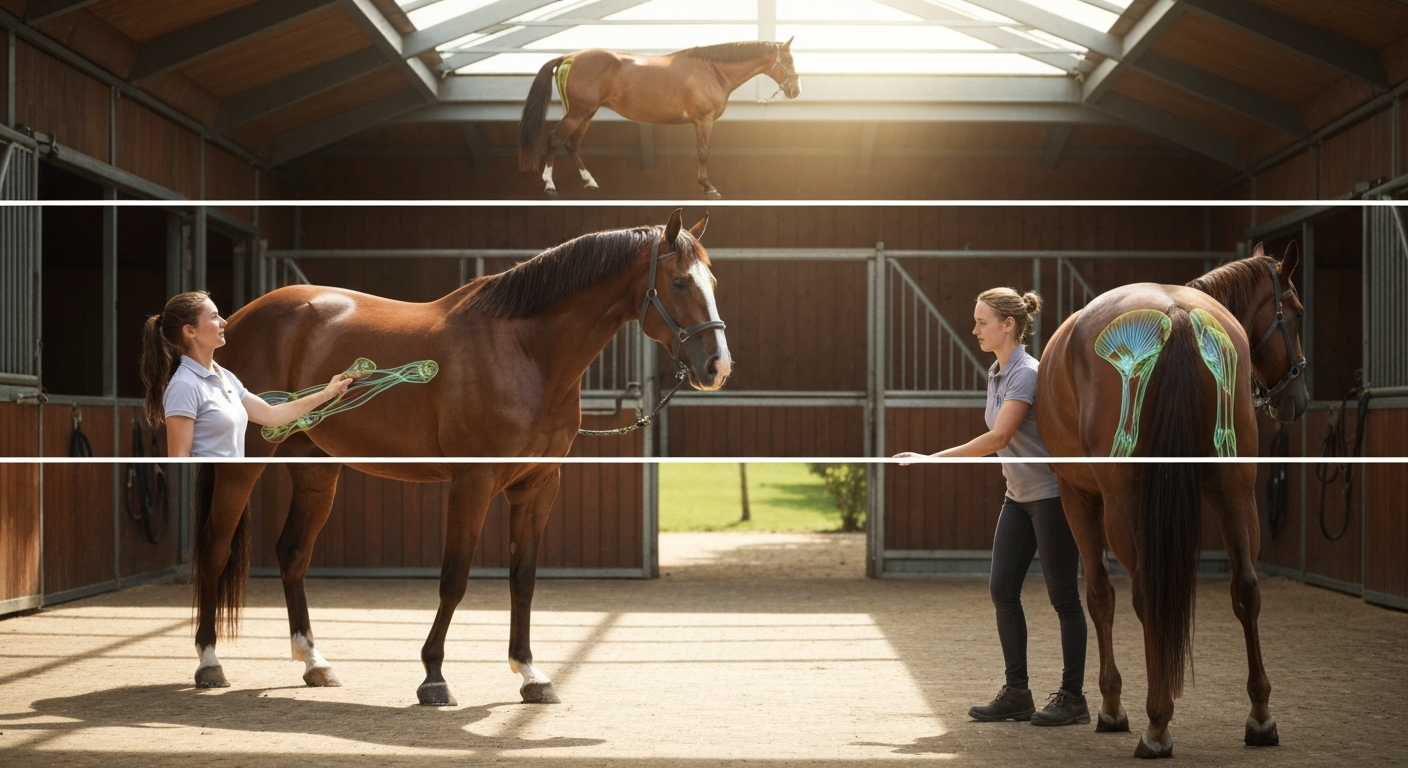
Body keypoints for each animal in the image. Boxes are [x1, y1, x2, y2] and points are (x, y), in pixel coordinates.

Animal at [190, 209, 731, 707]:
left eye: (713, 282)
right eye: (679, 281)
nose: (717, 366)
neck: (525, 351)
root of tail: (234, 323)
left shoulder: (538, 485)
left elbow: (523, 577)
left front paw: (530, 674)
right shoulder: (472, 481)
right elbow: (454, 578)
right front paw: (433, 677)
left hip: (315, 469)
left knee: (293, 553)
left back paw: (314, 662)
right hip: (245, 462)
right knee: (215, 547)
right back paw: (209, 663)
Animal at [518, 39, 800, 199]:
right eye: (787, 60)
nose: (795, 91)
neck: (712, 70)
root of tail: (569, 57)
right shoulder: (704, 120)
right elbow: (703, 153)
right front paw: (709, 188)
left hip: (586, 113)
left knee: (572, 144)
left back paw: (590, 183)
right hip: (579, 112)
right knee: (555, 138)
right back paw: (550, 185)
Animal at [1035, 244, 1307, 758]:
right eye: (1299, 313)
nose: (1296, 398)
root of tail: (1177, 315)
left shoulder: (1078, 497)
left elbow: (1100, 596)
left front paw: (1112, 706)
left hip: (1124, 504)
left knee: (1146, 594)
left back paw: (1156, 724)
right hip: (1235, 491)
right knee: (1246, 588)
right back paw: (1260, 718)